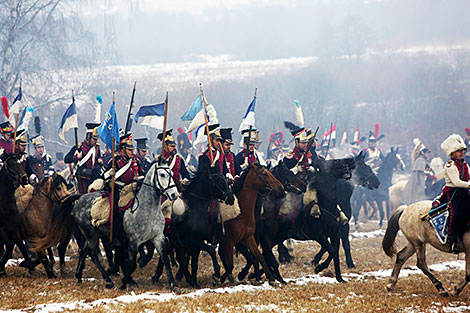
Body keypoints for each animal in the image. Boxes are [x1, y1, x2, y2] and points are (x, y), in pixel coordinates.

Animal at [30, 160, 179, 288]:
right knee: (92, 253)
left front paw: (172, 283)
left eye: (171, 173)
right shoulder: (133, 241)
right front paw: (125, 282)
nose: (174, 194)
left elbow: (164, 258)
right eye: (162, 174)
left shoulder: (157, 237)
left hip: (94, 235)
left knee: (84, 250)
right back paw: (108, 280)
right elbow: (131, 264)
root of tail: (80, 198)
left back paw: (79, 276)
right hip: (91, 235)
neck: (145, 209)